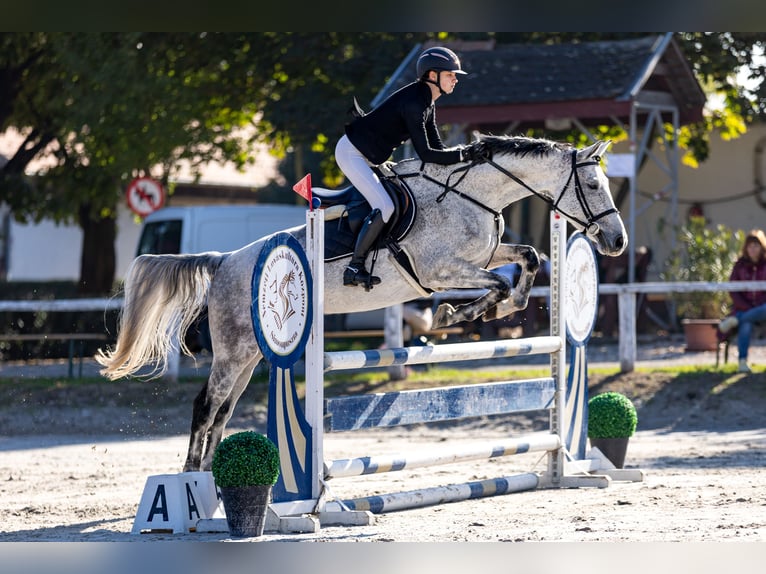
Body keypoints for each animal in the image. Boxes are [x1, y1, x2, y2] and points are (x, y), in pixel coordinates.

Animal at [97, 135, 632, 472]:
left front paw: (500, 309)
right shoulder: (440, 271)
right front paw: (454, 315)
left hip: (248, 355)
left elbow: (529, 258)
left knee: (223, 412)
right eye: (592, 185)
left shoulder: (484, 257)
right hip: (232, 351)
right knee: (206, 406)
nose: (616, 242)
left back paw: (210, 482)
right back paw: (191, 483)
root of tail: (226, 259)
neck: (473, 196)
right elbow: (494, 285)